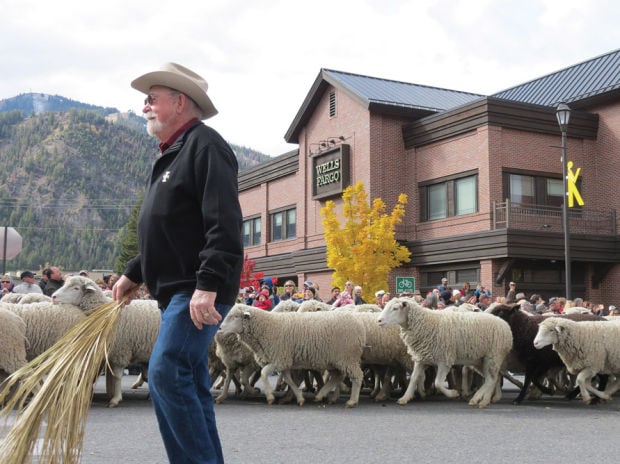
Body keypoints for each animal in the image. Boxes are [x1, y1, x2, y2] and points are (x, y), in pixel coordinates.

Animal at [219, 304, 366, 406]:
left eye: (235, 316)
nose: (219, 328)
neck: (266, 327)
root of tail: (359, 326)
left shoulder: (279, 359)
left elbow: (264, 373)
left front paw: (270, 397)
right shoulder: (284, 362)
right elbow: (289, 379)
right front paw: (299, 398)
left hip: (347, 358)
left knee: (357, 376)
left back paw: (352, 401)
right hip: (335, 360)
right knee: (338, 376)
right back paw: (321, 395)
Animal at [376, 298, 512, 406]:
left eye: (395, 308)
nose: (378, 321)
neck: (426, 324)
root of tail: (505, 325)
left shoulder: (444, 360)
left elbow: (437, 383)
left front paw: (453, 393)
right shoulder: (421, 359)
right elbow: (414, 378)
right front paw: (405, 398)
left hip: (493, 356)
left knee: (491, 379)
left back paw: (480, 399)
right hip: (481, 360)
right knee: (492, 379)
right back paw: (483, 400)